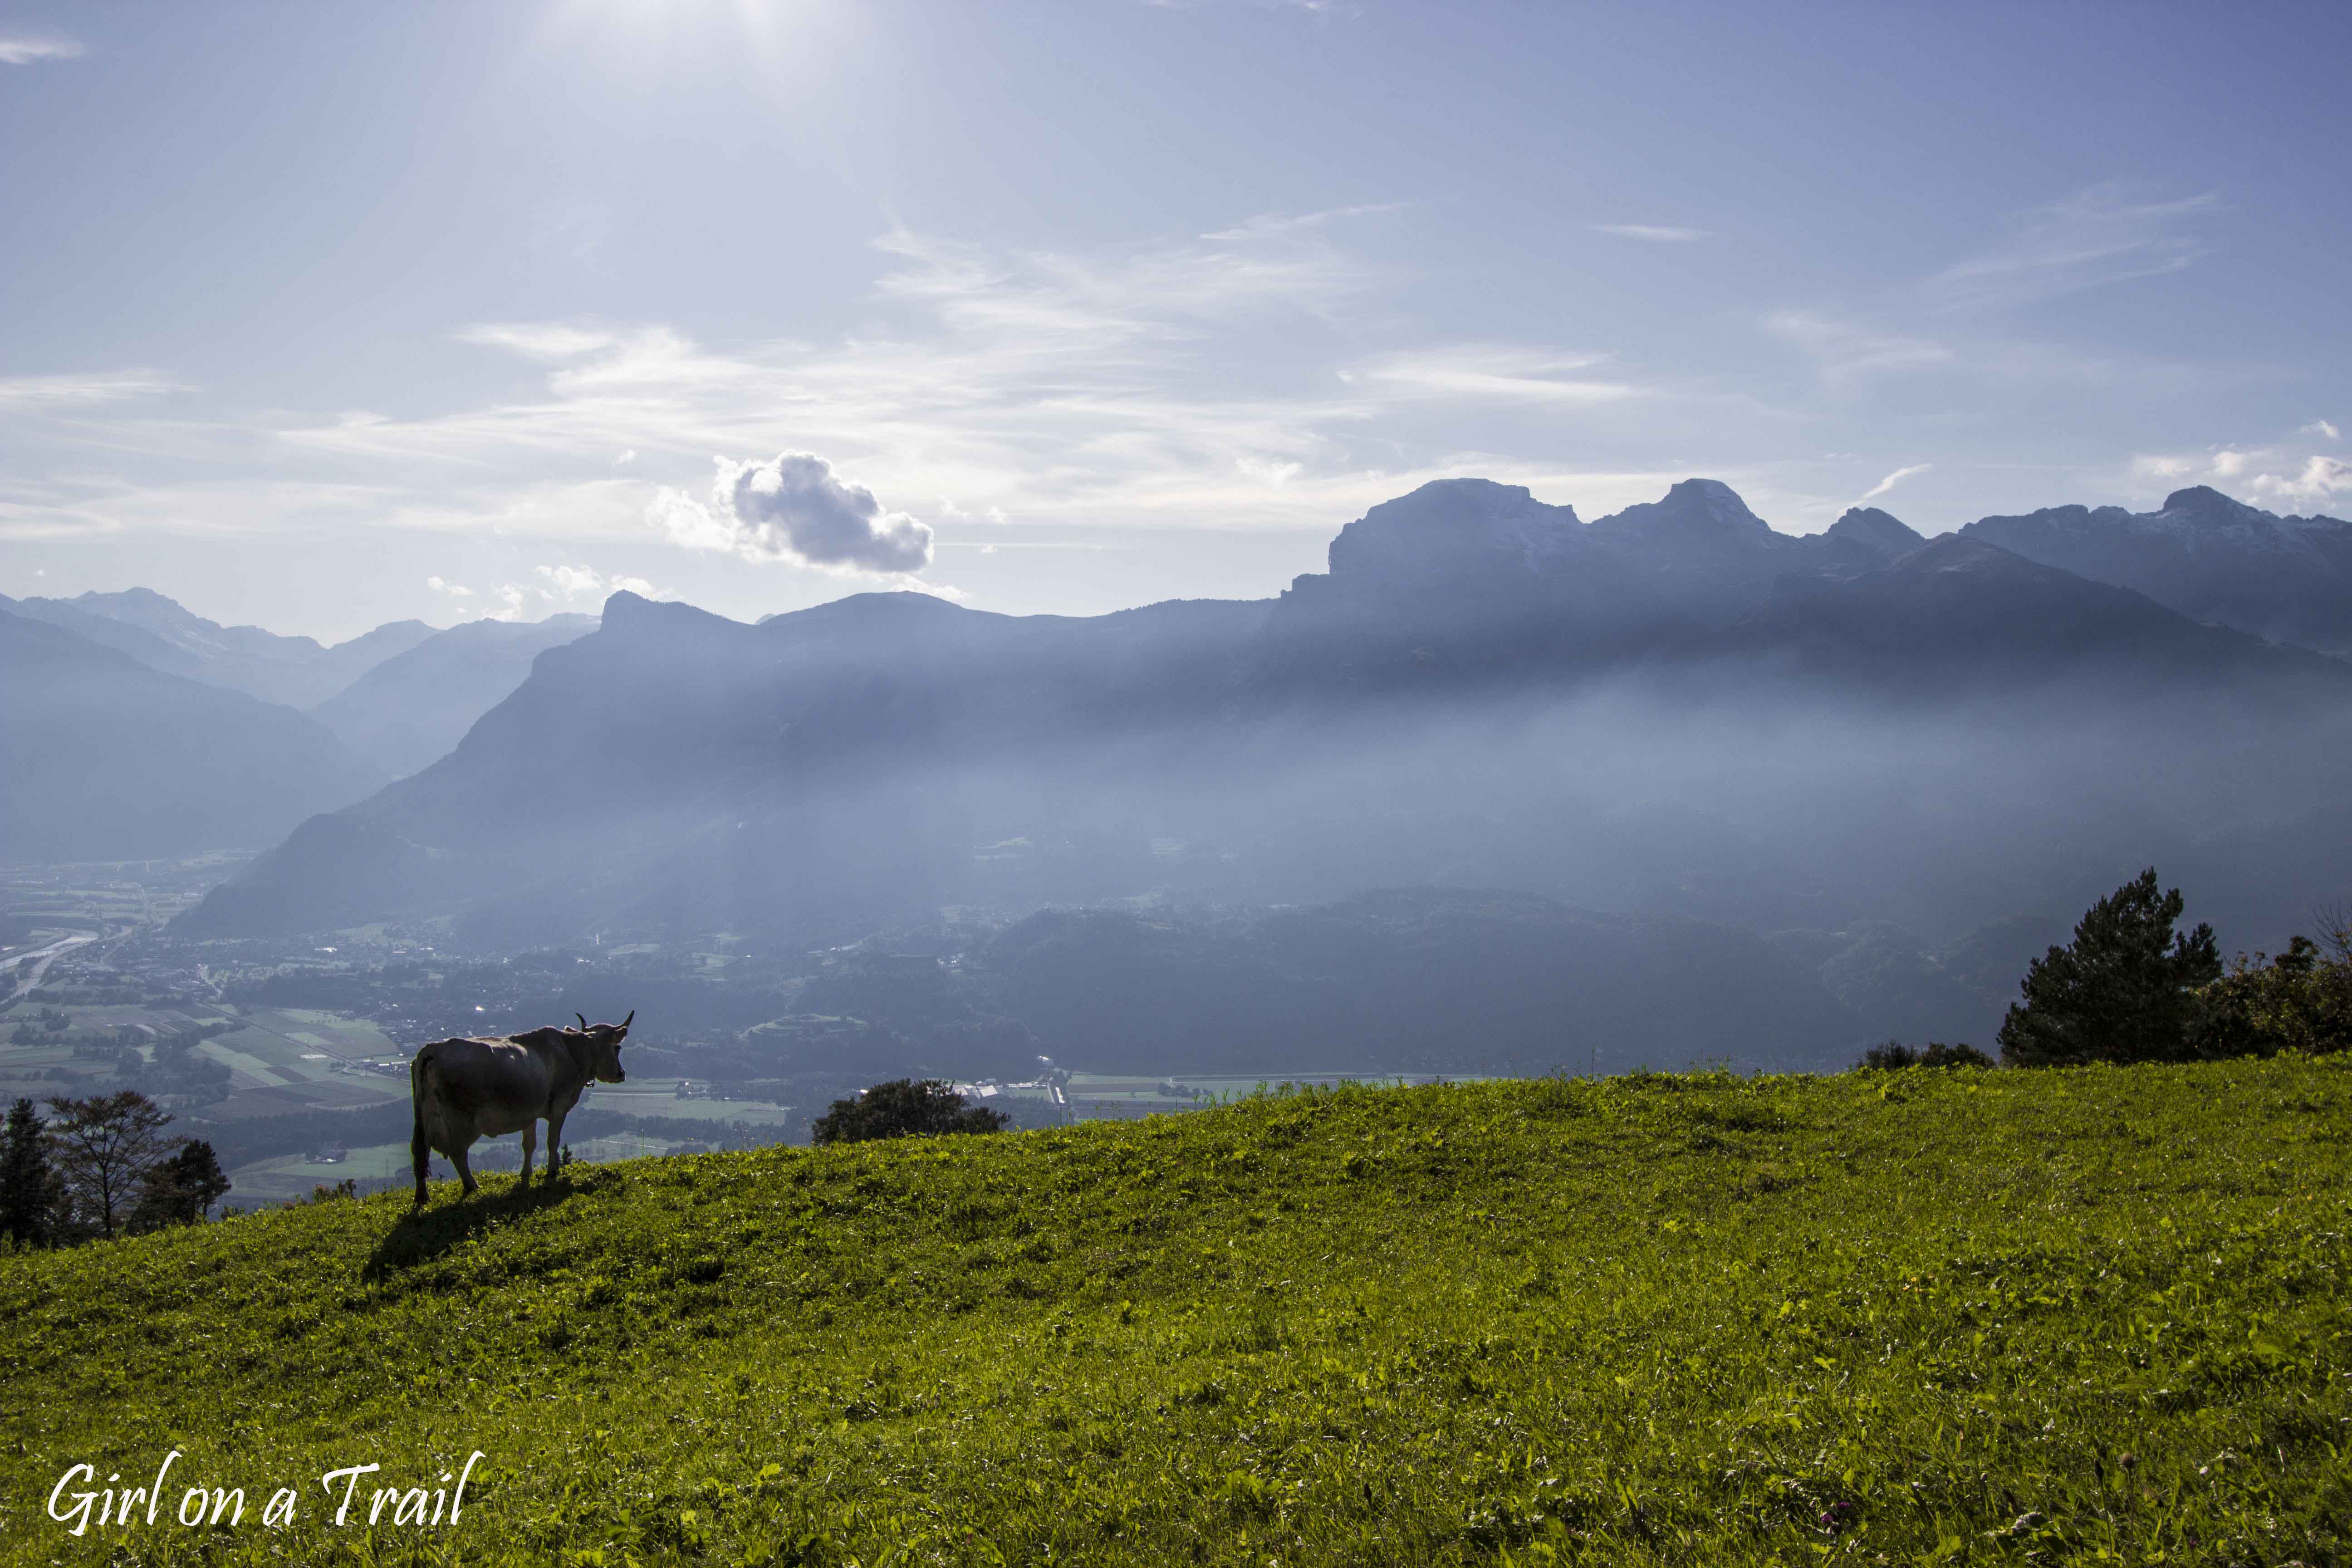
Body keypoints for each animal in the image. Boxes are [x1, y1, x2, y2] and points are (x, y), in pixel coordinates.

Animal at [412, 1011, 635, 1213]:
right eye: (618, 1048)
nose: (622, 1073)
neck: (572, 1052)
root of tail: (433, 1049)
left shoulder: (530, 1114)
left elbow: (529, 1145)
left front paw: (526, 1174)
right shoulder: (559, 1107)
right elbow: (552, 1141)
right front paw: (552, 1172)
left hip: (424, 1116)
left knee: (420, 1150)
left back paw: (423, 1197)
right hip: (462, 1120)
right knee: (458, 1153)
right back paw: (472, 1186)